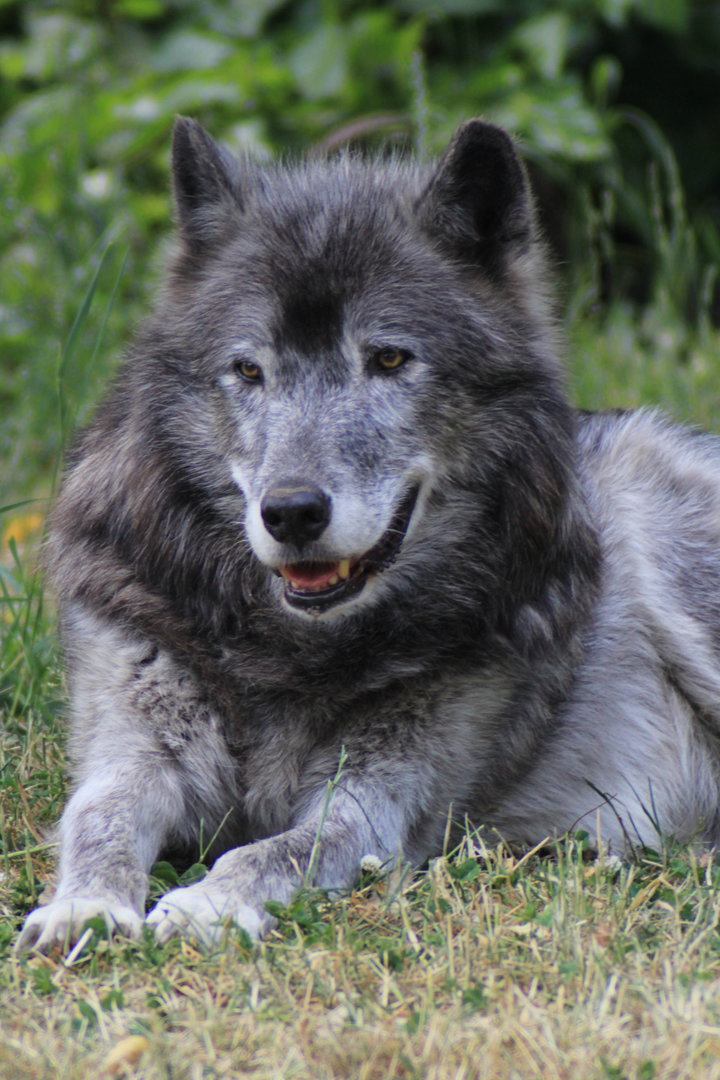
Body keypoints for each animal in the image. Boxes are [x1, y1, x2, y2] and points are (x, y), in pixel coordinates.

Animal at [19, 116, 720, 951]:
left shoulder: (374, 803)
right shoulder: (134, 738)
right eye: (248, 370)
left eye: (388, 358)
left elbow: (278, 848)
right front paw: (83, 907)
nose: (290, 512)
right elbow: (101, 814)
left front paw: (207, 904)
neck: (285, 650)